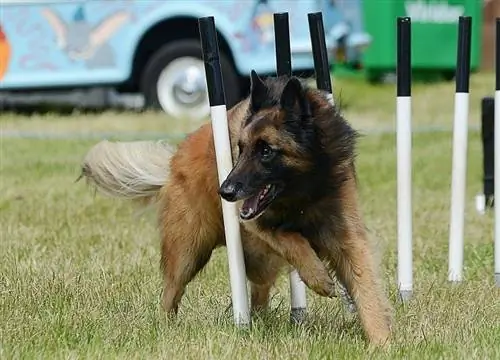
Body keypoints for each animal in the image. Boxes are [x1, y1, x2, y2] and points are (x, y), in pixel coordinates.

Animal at [81, 71, 394, 346]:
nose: (226, 192)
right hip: (188, 251)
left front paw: (381, 342)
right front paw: (317, 277)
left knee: (259, 292)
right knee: (171, 293)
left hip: (258, 261)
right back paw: (167, 328)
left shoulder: (347, 236)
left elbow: (366, 287)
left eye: (266, 151)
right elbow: (290, 238)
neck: (302, 190)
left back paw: (261, 321)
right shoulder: (253, 221)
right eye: (240, 149)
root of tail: (174, 161)